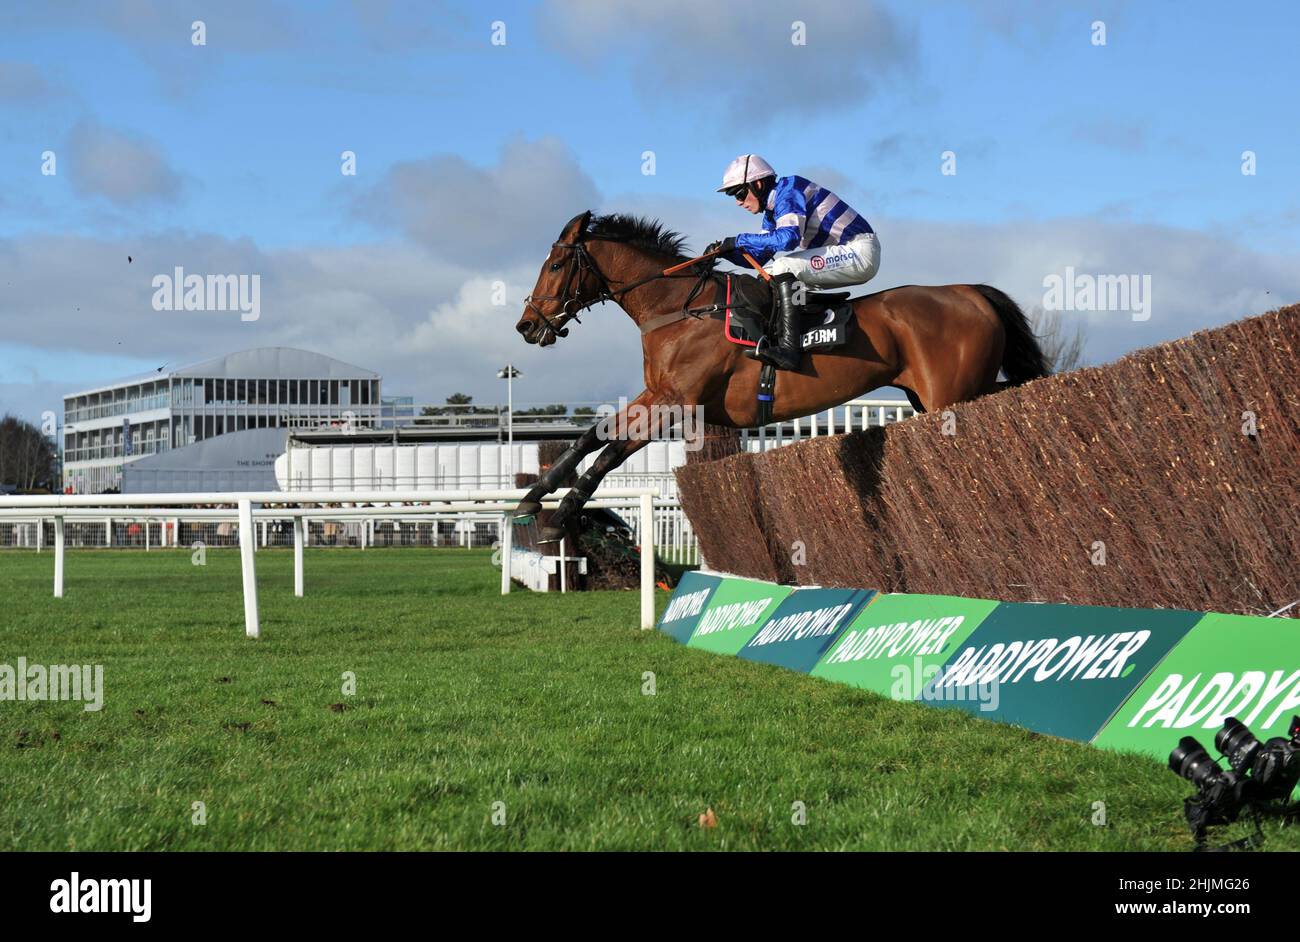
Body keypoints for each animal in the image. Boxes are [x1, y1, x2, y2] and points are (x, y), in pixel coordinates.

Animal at [509, 209, 1045, 540]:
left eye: (554, 264)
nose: (527, 325)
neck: (678, 308)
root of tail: (970, 291)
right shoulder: (656, 393)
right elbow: (592, 435)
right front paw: (532, 498)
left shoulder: (676, 402)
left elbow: (610, 454)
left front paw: (560, 518)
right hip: (943, 393)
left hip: (949, 396)